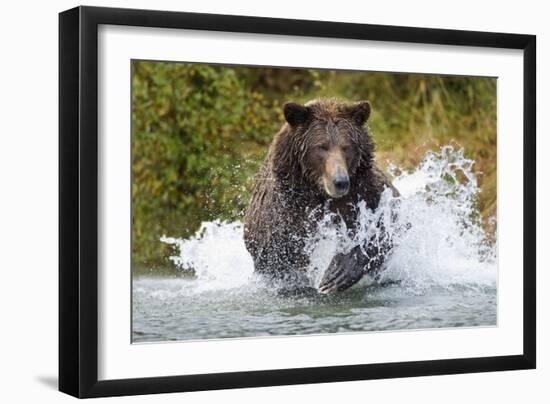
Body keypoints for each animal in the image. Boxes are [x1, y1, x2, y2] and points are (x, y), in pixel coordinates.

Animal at [244, 98, 398, 294]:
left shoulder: (367, 193)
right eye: (321, 147)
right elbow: (283, 253)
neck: (320, 192)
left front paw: (337, 273)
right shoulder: (285, 212)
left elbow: (389, 225)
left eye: (346, 147)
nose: (340, 181)